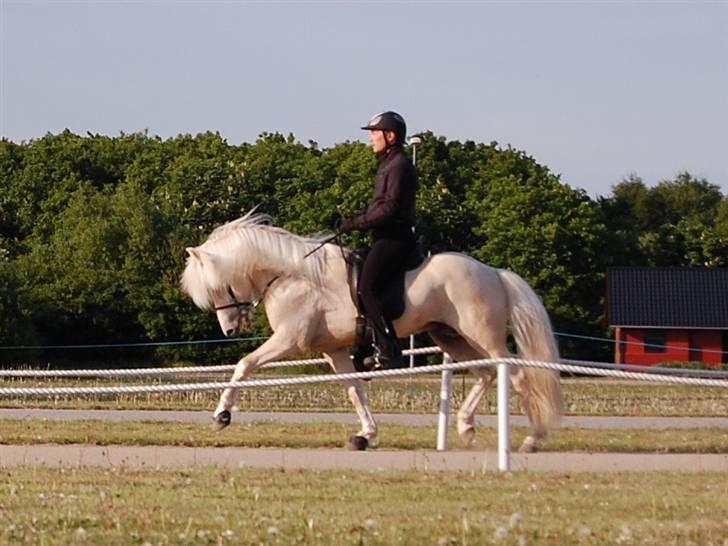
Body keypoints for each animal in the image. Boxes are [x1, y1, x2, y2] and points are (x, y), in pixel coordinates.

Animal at [182, 208, 564, 450]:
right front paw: (366, 434)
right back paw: (466, 426)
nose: (230, 329)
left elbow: (244, 364)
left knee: (514, 374)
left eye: (217, 288)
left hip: (482, 334)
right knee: (486, 373)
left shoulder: (289, 341)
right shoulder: (334, 350)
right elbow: (354, 390)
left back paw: (532, 438)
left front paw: (222, 414)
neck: (294, 276)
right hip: (449, 335)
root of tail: (494, 273)